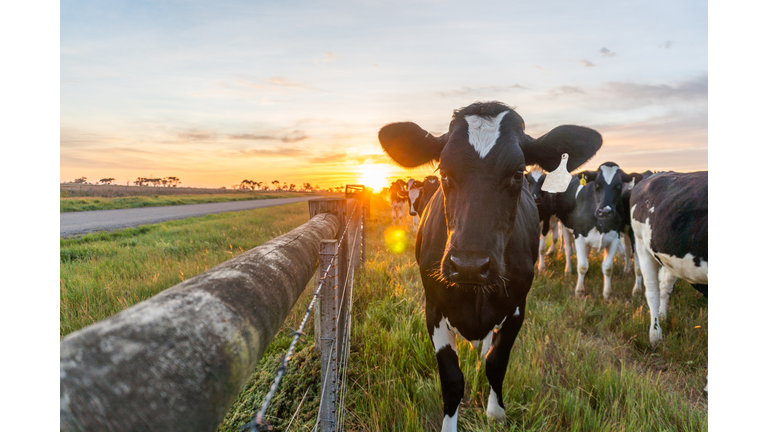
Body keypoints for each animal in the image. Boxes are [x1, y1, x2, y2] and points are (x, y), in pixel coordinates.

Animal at [376, 102, 600, 432]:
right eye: (444, 171)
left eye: (518, 174)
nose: (469, 265)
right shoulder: (433, 308)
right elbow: (452, 380)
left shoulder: (517, 307)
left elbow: (496, 362)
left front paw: (496, 413)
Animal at [552, 162, 640, 300]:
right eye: (597, 184)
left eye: (619, 185)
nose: (605, 211)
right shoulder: (579, 235)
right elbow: (582, 265)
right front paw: (579, 292)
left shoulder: (614, 237)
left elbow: (607, 267)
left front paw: (607, 294)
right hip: (565, 226)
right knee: (568, 249)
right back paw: (568, 271)